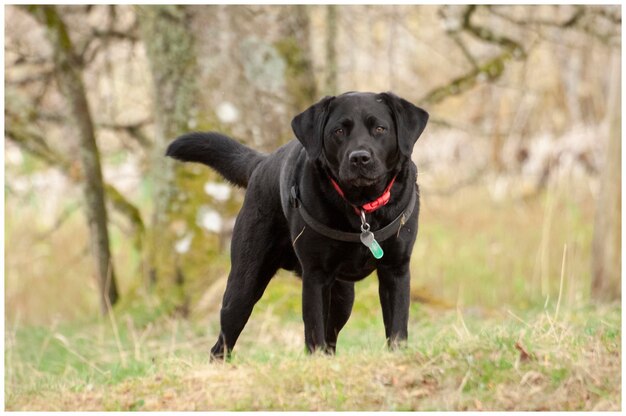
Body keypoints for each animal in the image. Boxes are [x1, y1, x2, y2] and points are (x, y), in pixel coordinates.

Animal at [166, 91, 426, 358]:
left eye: (380, 128)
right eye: (338, 131)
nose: (359, 158)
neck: (362, 208)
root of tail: (262, 162)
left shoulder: (396, 270)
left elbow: (397, 328)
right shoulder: (316, 275)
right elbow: (314, 333)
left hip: (343, 296)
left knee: (331, 336)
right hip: (243, 286)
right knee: (221, 343)